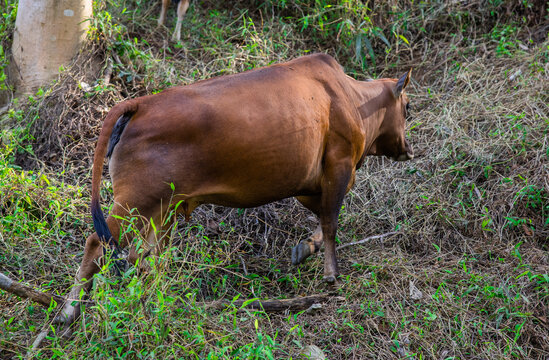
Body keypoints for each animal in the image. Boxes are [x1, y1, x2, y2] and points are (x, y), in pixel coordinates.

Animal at [58, 53, 412, 326]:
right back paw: (68, 312)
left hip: (161, 210)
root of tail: (140, 103)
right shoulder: (338, 167)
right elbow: (331, 222)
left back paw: (154, 298)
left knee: (146, 256)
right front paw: (330, 273)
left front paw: (304, 249)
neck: (351, 98)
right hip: (136, 203)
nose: (408, 149)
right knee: (97, 244)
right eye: (407, 108)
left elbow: (322, 218)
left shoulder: (309, 181)